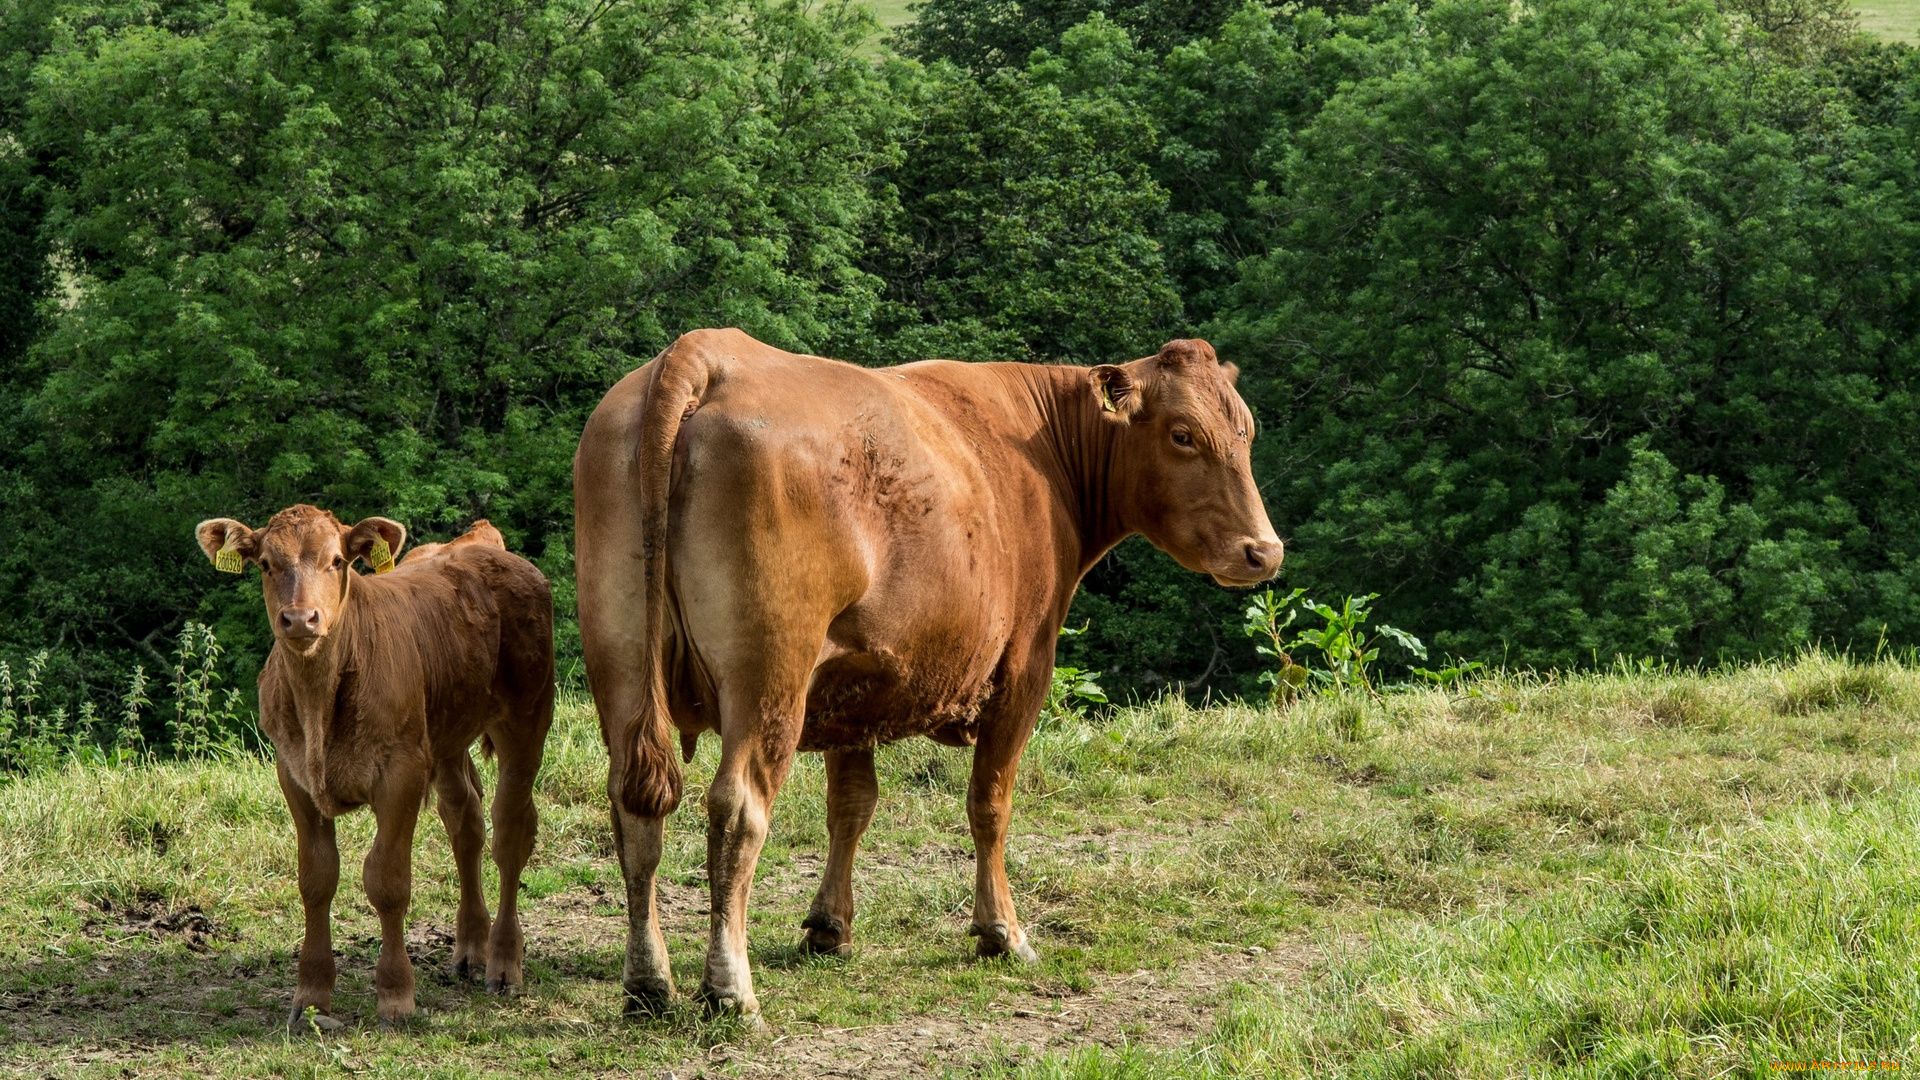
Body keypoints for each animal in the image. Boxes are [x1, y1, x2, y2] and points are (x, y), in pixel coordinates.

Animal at [192, 507, 556, 1022]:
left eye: (337, 560)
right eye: (265, 563)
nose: (300, 618)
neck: (319, 703)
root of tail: (479, 543)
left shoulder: (400, 772)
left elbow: (387, 880)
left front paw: (396, 995)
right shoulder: (294, 776)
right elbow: (316, 878)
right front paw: (310, 996)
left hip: (527, 716)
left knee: (510, 831)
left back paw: (504, 964)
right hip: (445, 735)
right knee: (465, 821)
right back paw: (470, 948)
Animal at [576, 328, 1282, 1014]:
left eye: (1247, 431)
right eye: (1183, 434)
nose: (1265, 551)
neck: (1040, 452)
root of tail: (702, 350)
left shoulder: (853, 680)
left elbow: (852, 805)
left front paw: (829, 926)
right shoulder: (1024, 669)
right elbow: (990, 802)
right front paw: (1002, 932)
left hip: (622, 659)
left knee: (634, 804)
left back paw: (648, 981)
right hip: (769, 675)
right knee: (737, 808)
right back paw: (729, 988)